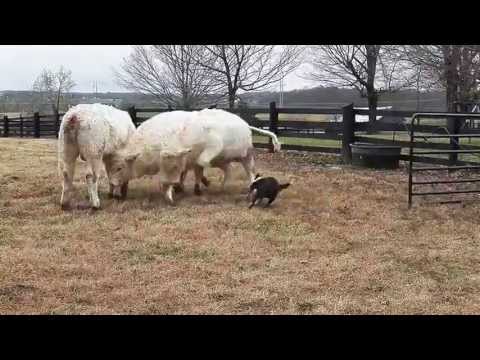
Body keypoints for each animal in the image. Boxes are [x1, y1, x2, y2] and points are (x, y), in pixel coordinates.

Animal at [108, 108, 282, 204]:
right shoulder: (179, 163)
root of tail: (245, 124)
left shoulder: (195, 153)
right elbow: (181, 175)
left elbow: (182, 173)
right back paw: (220, 186)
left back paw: (249, 189)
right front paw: (185, 188)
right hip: (231, 159)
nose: (112, 183)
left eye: (119, 167)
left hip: (246, 157)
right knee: (228, 170)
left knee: (250, 173)